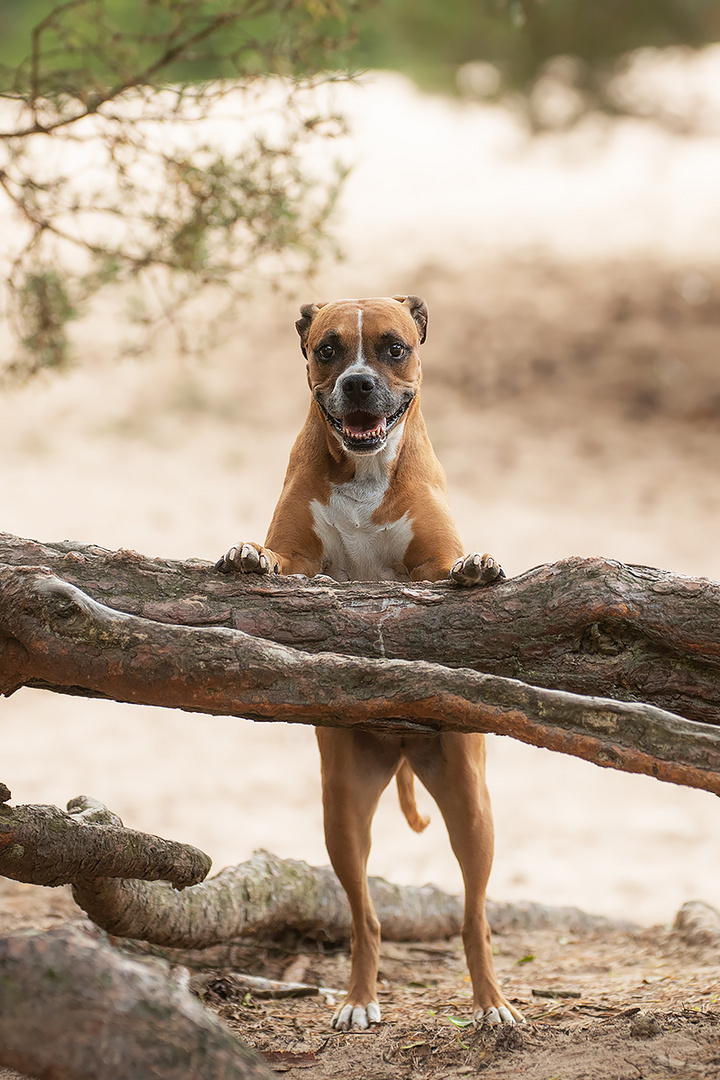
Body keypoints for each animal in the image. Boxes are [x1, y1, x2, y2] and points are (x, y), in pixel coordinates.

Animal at [216, 293, 520, 1028]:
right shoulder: (302, 559)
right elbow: (279, 557)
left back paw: (492, 1004)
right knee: (365, 915)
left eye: (393, 347)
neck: (363, 472)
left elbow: (448, 567)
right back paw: (358, 999)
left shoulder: (428, 563)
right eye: (329, 349)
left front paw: (478, 566)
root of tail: (402, 746)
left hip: (471, 808)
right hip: (342, 812)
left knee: (473, 916)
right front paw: (248, 554)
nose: (357, 384)